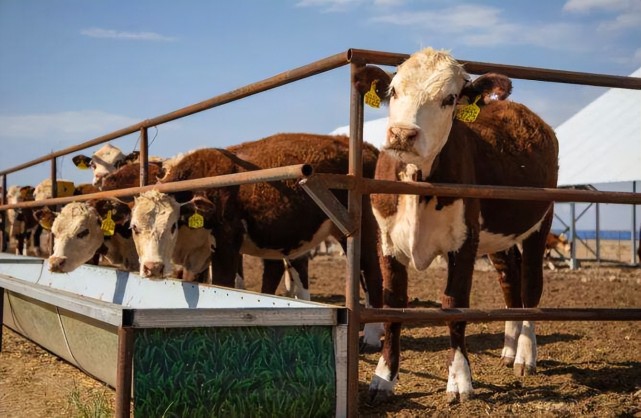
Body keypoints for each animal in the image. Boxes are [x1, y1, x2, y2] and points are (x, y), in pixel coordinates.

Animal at [127, 134, 382, 346]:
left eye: (171, 226)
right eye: (134, 227)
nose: (152, 268)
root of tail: (360, 145)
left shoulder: (226, 244)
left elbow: (223, 285)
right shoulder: (198, 256)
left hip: (359, 226)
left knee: (371, 272)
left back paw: (371, 336)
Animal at [360, 47, 560, 404]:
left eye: (449, 98)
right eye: (393, 91)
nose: (402, 134)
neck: (419, 181)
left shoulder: (464, 244)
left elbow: (454, 306)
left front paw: (460, 380)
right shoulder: (387, 241)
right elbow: (393, 306)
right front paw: (383, 378)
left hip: (540, 221)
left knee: (531, 285)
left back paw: (525, 355)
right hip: (497, 237)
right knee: (510, 280)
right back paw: (509, 350)